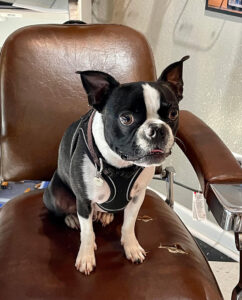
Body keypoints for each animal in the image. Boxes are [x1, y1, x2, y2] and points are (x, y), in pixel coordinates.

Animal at [42, 55, 189, 276]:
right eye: (126, 118)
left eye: (173, 114)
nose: (157, 129)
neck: (121, 166)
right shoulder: (83, 200)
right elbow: (87, 233)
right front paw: (86, 256)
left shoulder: (137, 197)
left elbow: (128, 225)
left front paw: (131, 247)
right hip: (56, 195)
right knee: (68, 211)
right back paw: (72, 219)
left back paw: (104, 214)